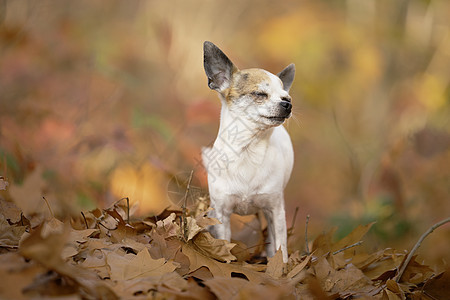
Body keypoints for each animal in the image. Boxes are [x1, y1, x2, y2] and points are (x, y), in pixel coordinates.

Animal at [201, 41, 296, 262]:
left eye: (286, 97)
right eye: (260, 94)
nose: (288, 104)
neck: (248, 150)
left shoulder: (275, 210)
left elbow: (281, 247)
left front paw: (282, 267)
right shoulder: (222, 214)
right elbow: (224, 243)